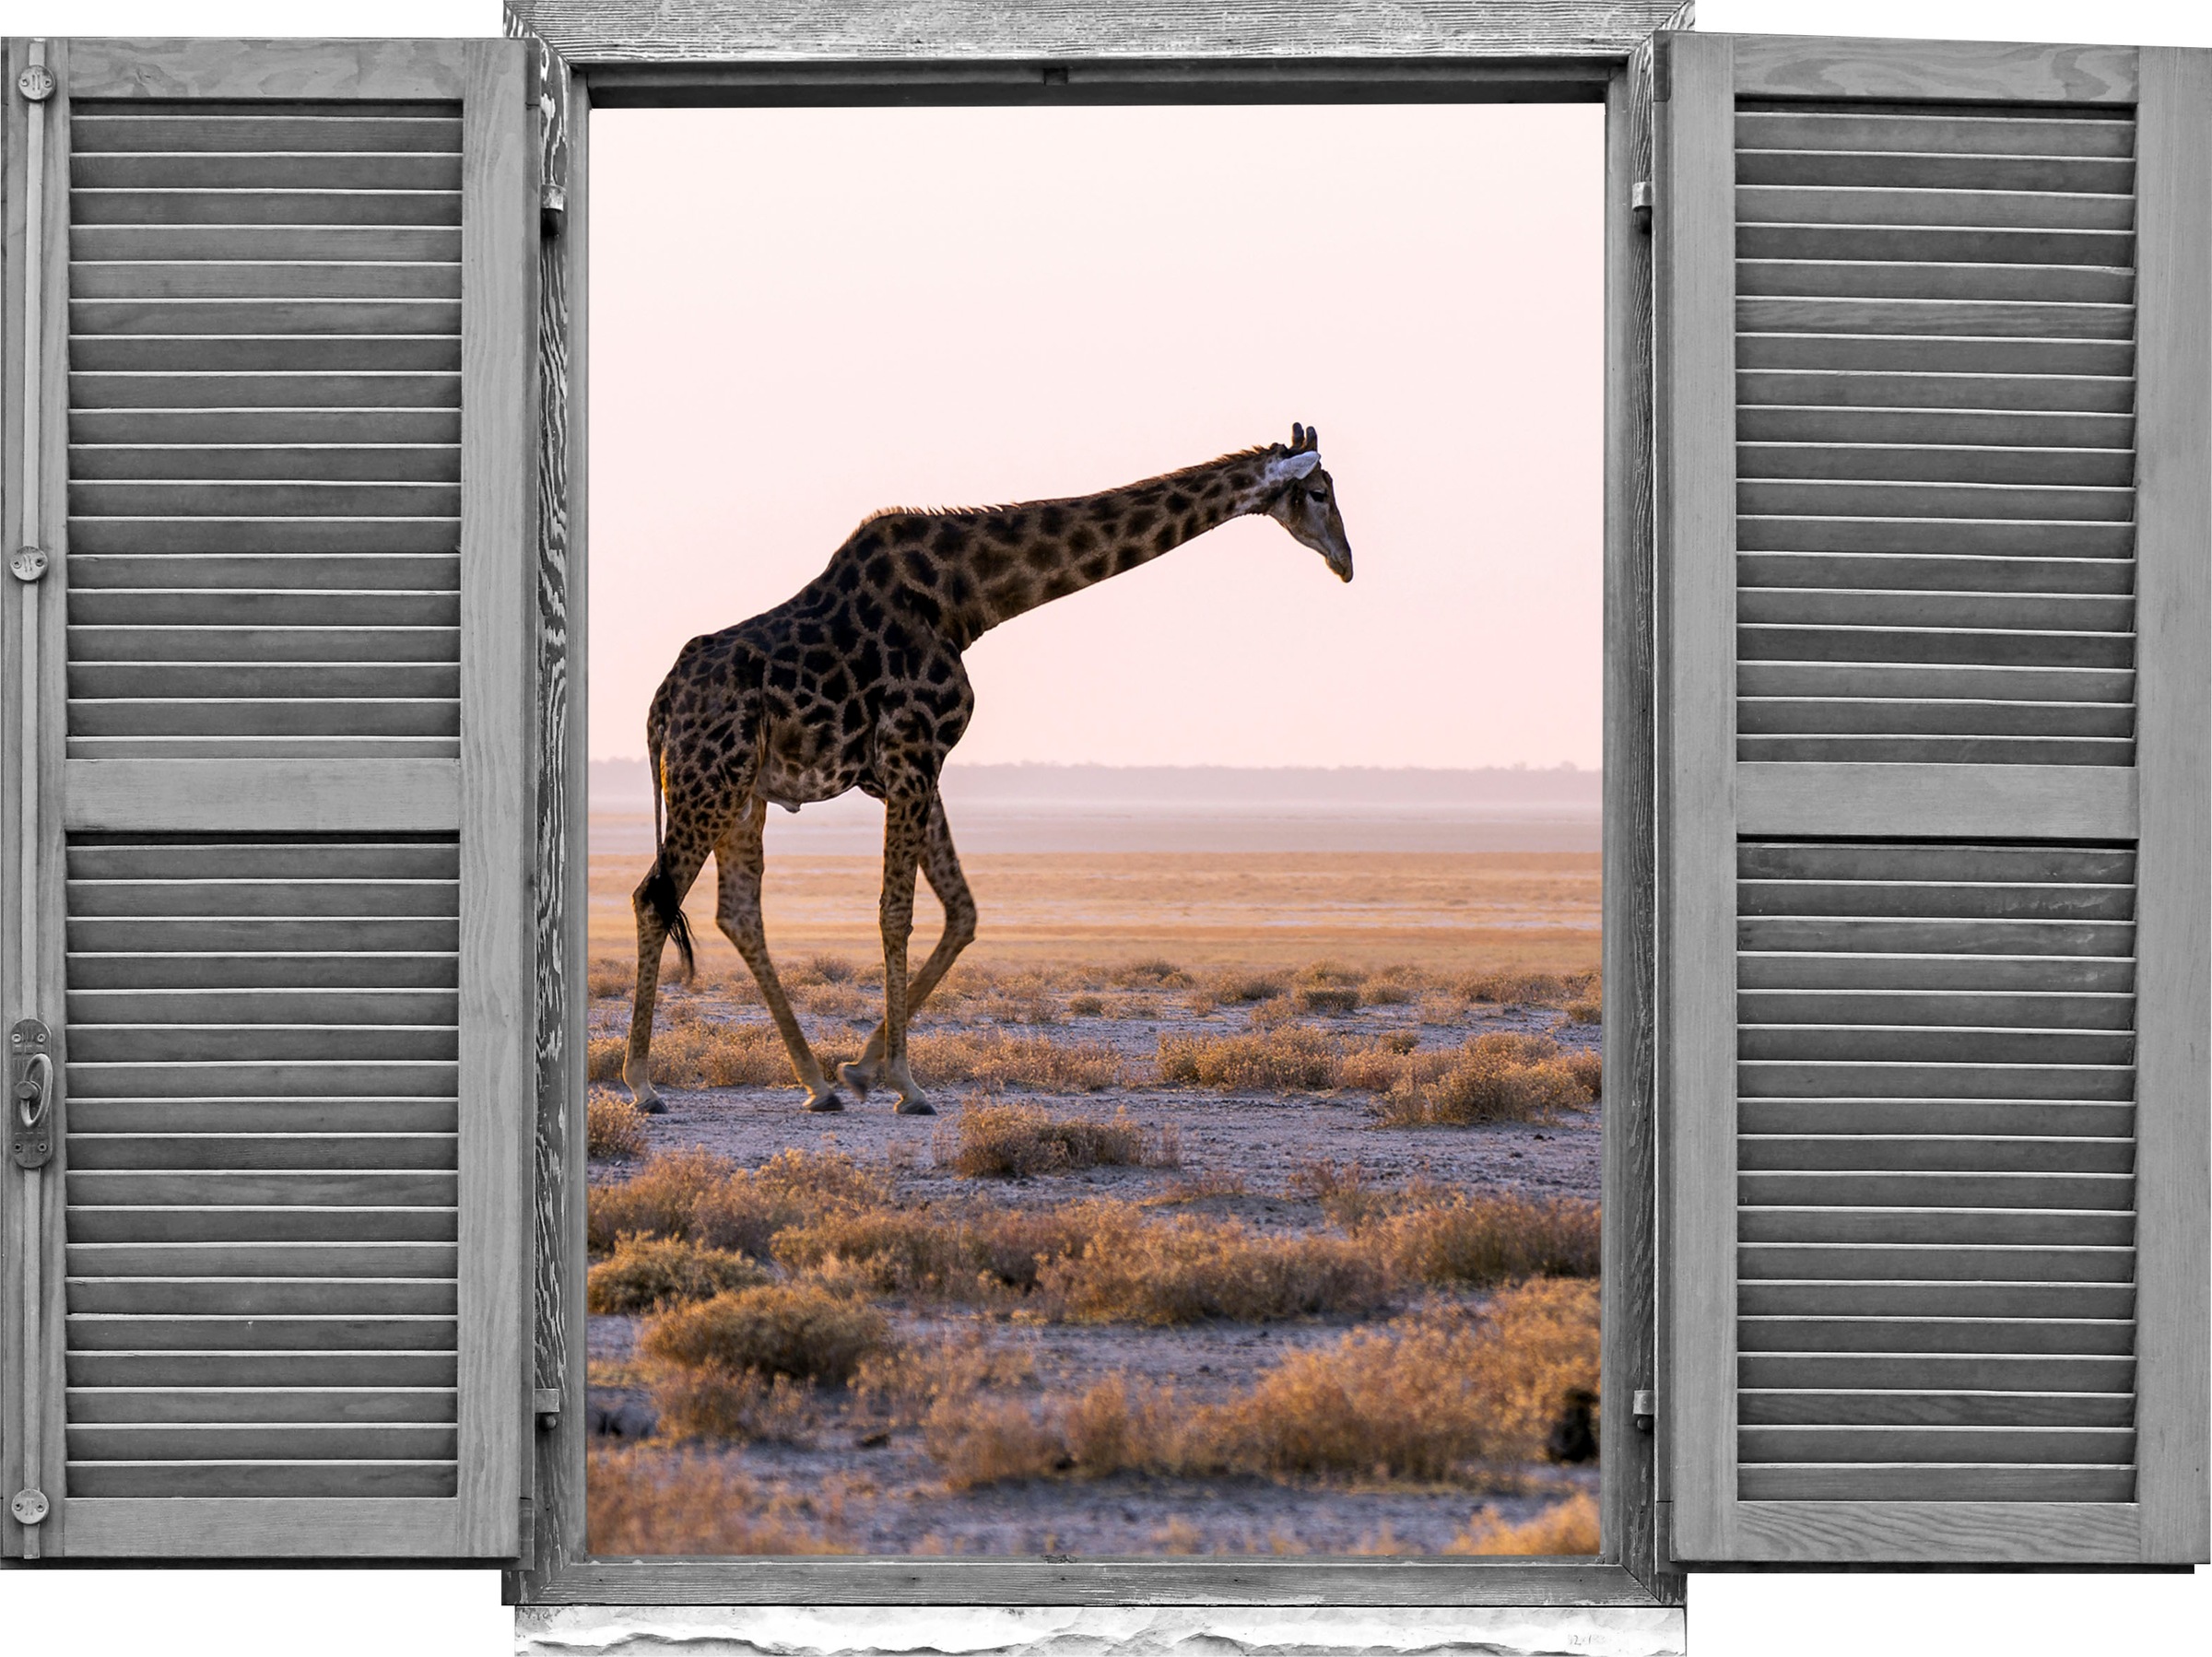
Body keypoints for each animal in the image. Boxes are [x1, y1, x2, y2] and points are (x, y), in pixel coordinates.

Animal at [623, 423, 1353, 1116]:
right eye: (1319, 493)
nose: (1346, 563)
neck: (965, 598)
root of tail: (660, 705)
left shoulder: (911, 769)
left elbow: (962, 911)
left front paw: (864, 1069)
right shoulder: (912, 754)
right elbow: (896, 912)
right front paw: (908, 1083)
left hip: (743, 793)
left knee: (737, 911)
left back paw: (815, 1082)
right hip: (709, 779)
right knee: (655, 896)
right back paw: (643, 1084)